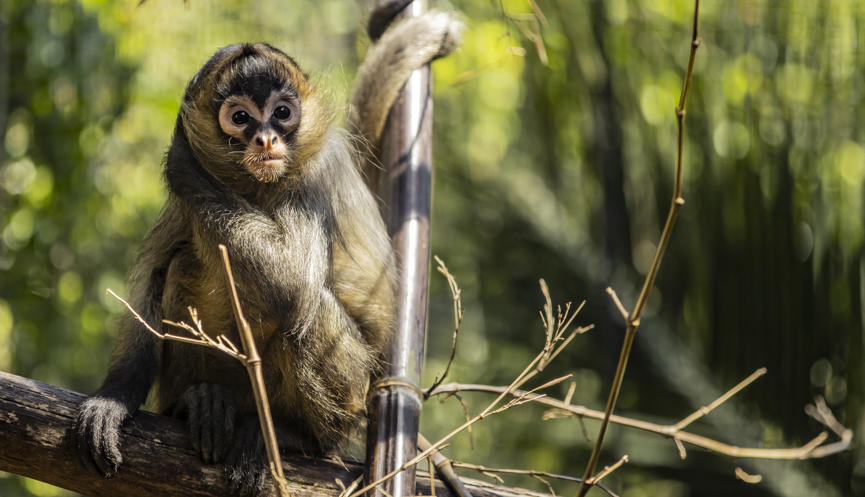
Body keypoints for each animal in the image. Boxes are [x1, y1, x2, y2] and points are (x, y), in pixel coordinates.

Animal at [73, 11, 461, 496]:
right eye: (240, 118)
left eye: (281, 113)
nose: (265, 140)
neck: (253, 187)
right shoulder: (186, 200)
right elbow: (152, 271)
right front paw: (116, 397)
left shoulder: (315, 172)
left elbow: (294, 284)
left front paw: (183, 155)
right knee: (184, 263)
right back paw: (201, 402)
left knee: (303, 311)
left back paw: (296, 434)